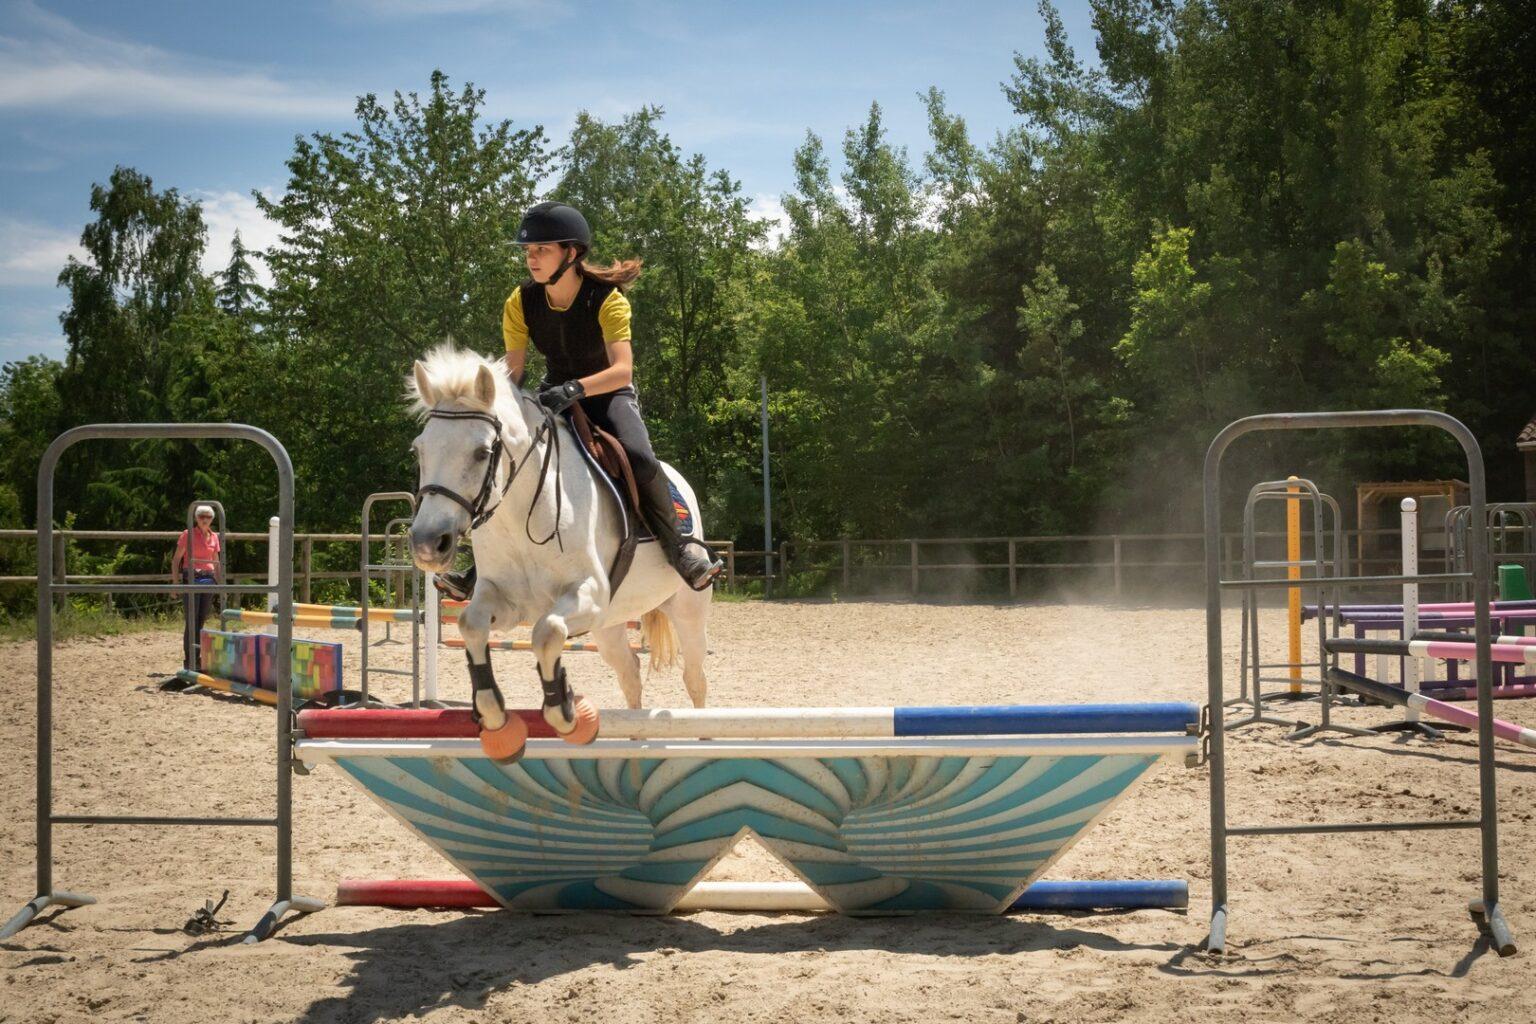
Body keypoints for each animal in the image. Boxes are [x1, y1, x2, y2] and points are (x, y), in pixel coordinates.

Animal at [408, 343, 718, 761]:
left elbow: (548, 632)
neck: (521, 513)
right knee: (630, 674)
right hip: (609, 625)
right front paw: (495, 717)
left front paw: (565, 708)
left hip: (687, 609)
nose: (428, 543)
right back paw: (635, 745)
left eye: (481, 452)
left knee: (695, 678)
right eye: (419, 450)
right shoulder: (505, 601)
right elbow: (471, 624)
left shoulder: (588, 594)